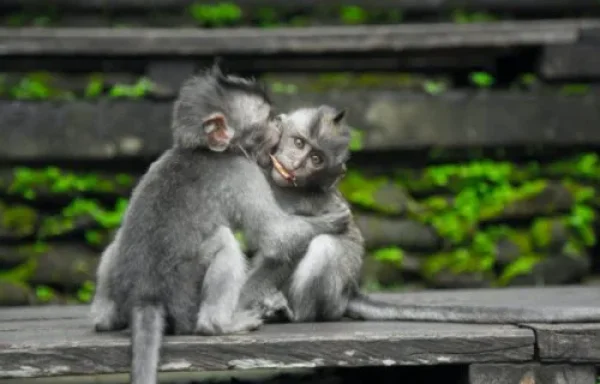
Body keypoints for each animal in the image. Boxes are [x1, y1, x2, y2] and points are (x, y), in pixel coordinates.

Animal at [89, 68, 352, 384]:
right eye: (267, 119)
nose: (279, 122)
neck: (204, 150)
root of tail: (145, 297)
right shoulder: (243, 172)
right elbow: (277, 237)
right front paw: (332, 219)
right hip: (185, 298)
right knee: (224, 243)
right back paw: (219, 325)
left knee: (115, 247)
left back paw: (105, 320)